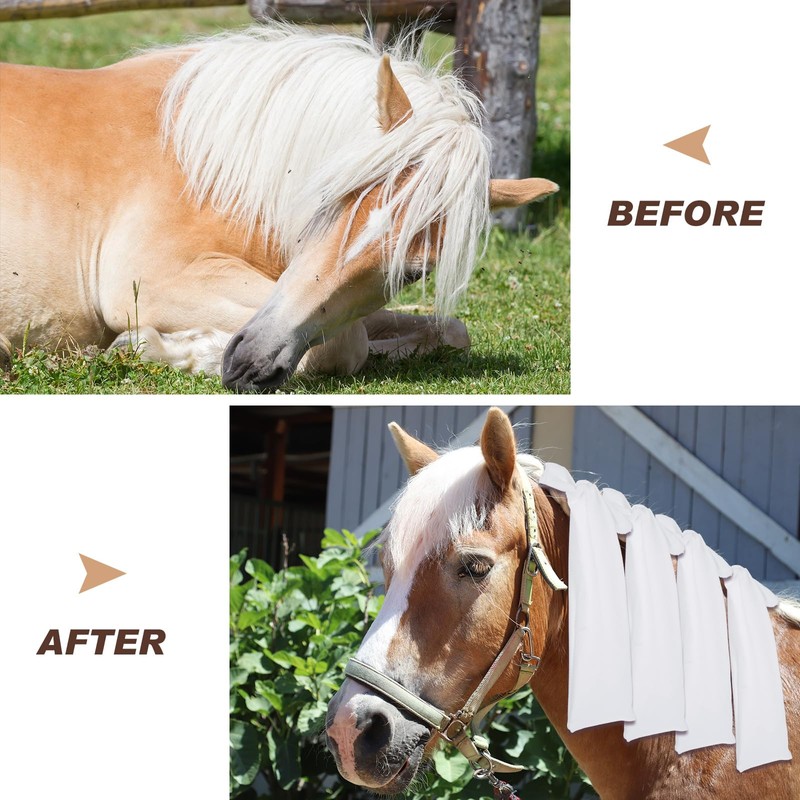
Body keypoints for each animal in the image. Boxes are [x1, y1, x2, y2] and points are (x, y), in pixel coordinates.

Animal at [0, 25, 557, 391]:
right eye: (327, 199)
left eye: (412, 273)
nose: (248, 364)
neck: (210, 160)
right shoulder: (150, 281)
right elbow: (343, 344)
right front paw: (155, 346)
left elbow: (447, 331)